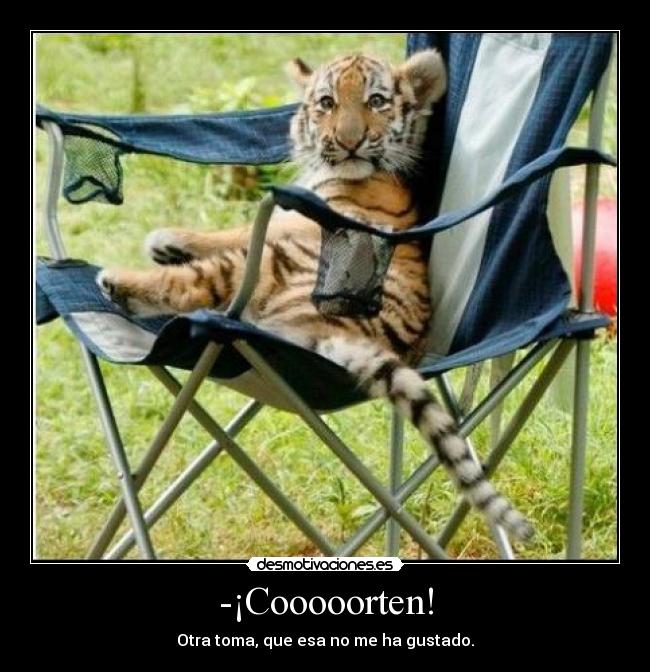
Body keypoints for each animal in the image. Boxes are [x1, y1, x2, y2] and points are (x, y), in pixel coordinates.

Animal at [96, 50, 534, 543]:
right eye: (326, 102)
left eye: (376, 101)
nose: (348, 142)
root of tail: (341, 329)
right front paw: (169, 242)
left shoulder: (293, 224)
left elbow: (240, 230)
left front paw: (167, 241)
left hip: (273, 264)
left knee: (196, 285)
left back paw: (117, 281)